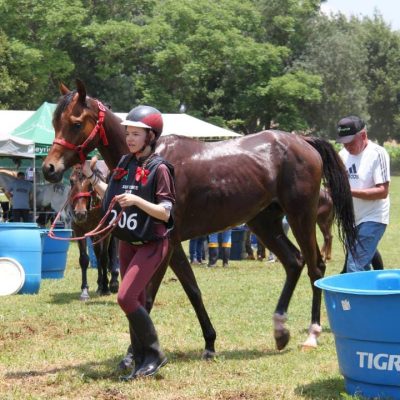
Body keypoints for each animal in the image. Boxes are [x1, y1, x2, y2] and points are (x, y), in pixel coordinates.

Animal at [68, 163, 119, 300]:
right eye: (71, 181)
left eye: (90, 183)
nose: (80, 214)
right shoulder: (79, 231)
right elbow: (84, 259)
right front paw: (85, 290)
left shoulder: (106, 232)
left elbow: (104, 258)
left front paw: (106, 288)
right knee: (97, 253)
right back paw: (99, 284)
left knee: (111, 253)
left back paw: (113, 283)